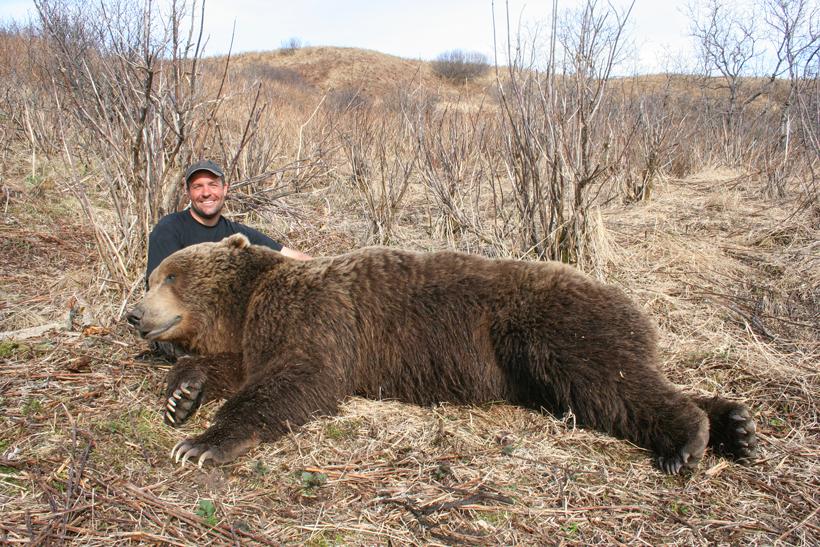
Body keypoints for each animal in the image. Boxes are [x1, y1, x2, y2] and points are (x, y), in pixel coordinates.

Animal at [126, 234, 758, 474]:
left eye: (168, 275)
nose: (134, 314)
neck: (251, 298)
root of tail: (633, 303)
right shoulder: (259, 334)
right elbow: (239, 367)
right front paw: (182, 396)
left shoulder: (319, 317)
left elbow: (300, 378)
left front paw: (201, 444)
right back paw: (737, 424)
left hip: (547, 328)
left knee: (609, 383)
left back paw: (688, 441)